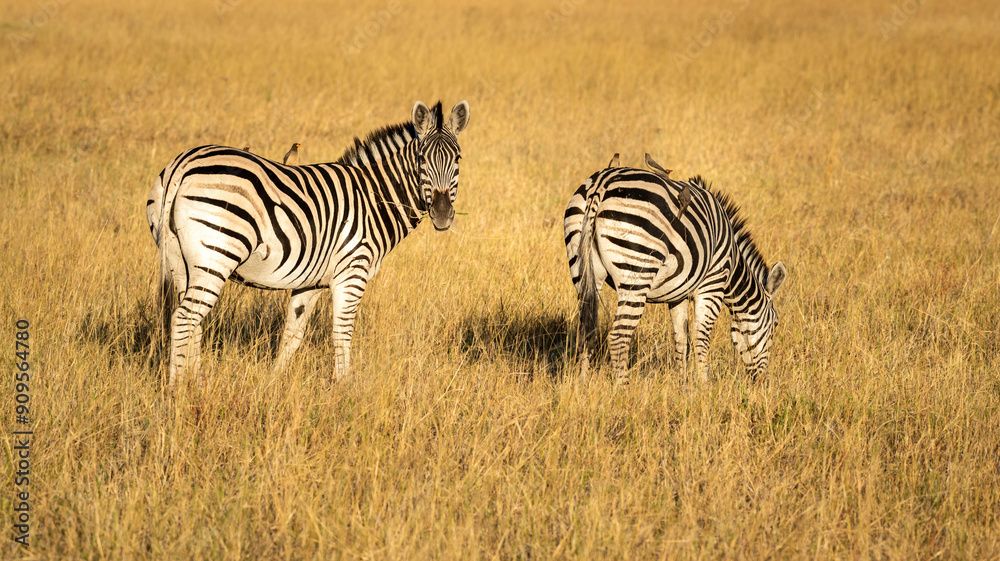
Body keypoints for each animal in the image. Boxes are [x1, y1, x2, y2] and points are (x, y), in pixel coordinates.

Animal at [146, 100, 470, 387]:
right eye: (422, 160)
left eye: (458, 159)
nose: (442, 214)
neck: (373, 198)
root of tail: (183, 163)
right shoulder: (352, 272)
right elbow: (342, 331)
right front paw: (343, 388)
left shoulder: (311, 281)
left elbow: (293, 334)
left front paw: (274, 384)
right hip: (216, 254)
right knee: (185, 318)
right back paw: (178, 391)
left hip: (180, 262)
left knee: (192, 321)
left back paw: (196, 382)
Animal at [563, 160, 787, 384]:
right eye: (776, 324)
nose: (762, 381)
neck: (733, 266)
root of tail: (600, 185)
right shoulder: (712, 286)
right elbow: (700, 337)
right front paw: (704, 386)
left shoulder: (677, 293)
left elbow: (681, 340)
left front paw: (683, 384)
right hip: (637, 272)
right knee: (618, 337)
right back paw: (622, 388)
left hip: (582, 267)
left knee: (586, 330)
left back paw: (582, 383)